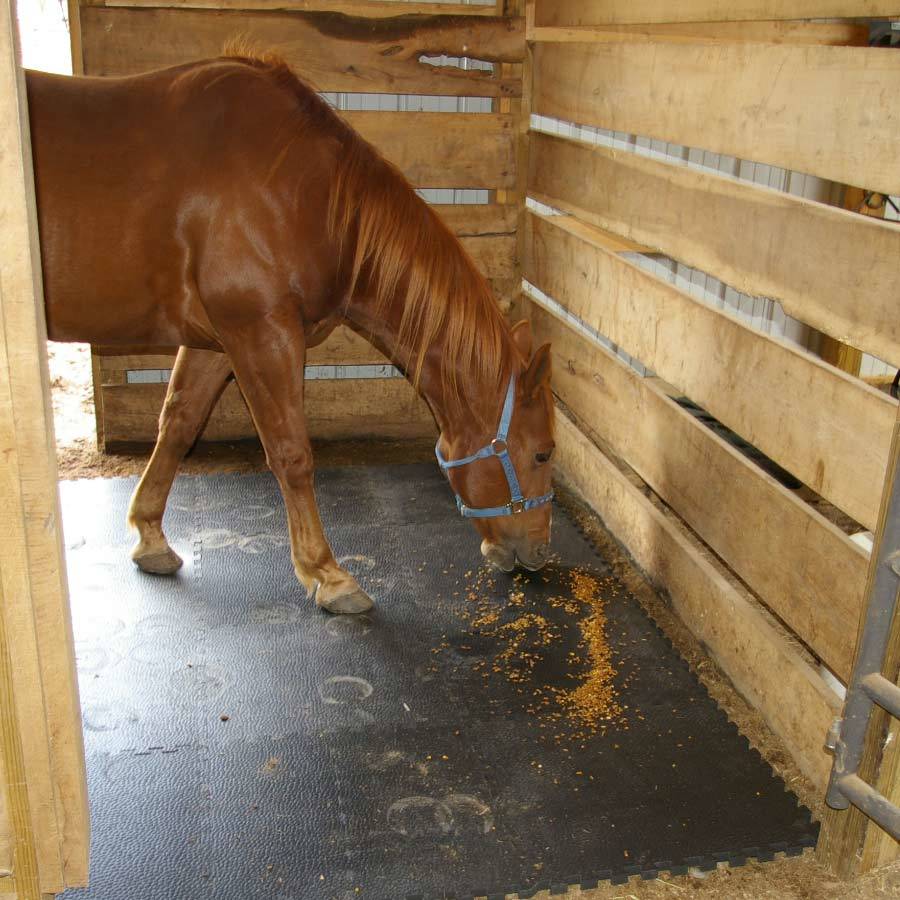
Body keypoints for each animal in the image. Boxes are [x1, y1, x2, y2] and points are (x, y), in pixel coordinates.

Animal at [24, 54, 552, 612]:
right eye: (543, 453)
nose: (540, 552)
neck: (305, 194)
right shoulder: (262, 332)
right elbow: (291, 453)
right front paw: (328, 574)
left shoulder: (217, 341)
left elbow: (179, 423)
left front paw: (150, 537)